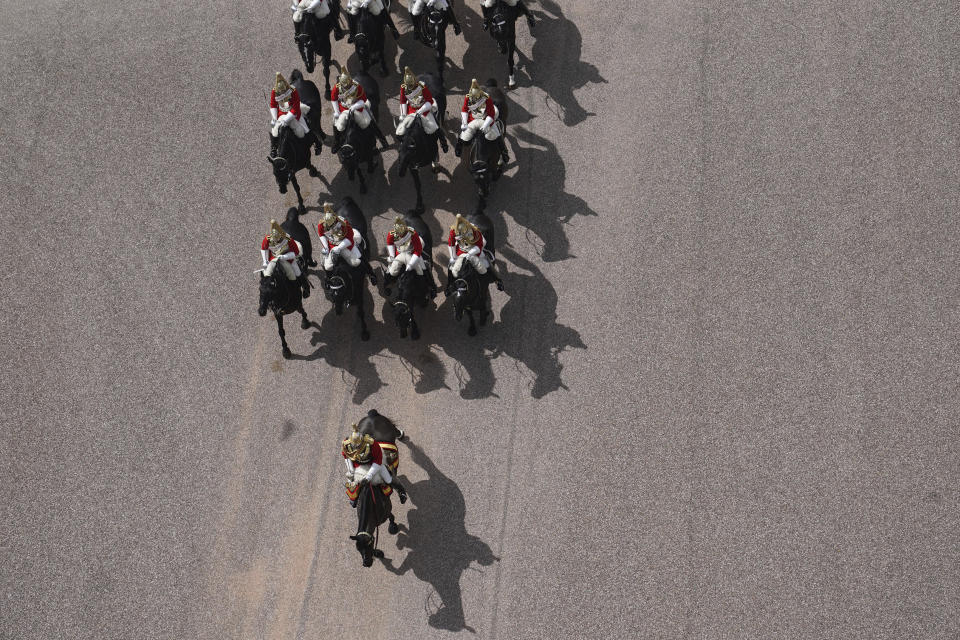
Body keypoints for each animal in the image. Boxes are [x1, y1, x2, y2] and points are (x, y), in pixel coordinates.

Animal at [326, 198, 378, 342]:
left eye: (341, 293)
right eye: (332, 296)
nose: (338, 312)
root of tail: (347, 201)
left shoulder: (359, 296)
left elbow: (360, 313)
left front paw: (365, 332)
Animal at [384, 210, 440, 340]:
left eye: (406, 321)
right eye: (396, 323)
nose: (403, 335)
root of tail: (411, 213)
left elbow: (422, 302)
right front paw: (415, 332)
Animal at [396, 72, 448, 212]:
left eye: (409, 153)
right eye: (399, 153)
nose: (401, 173)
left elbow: (435, 157)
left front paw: (436, 166)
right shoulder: (413, 168)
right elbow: (417, 185)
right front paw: (419, 204)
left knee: (441, 123)